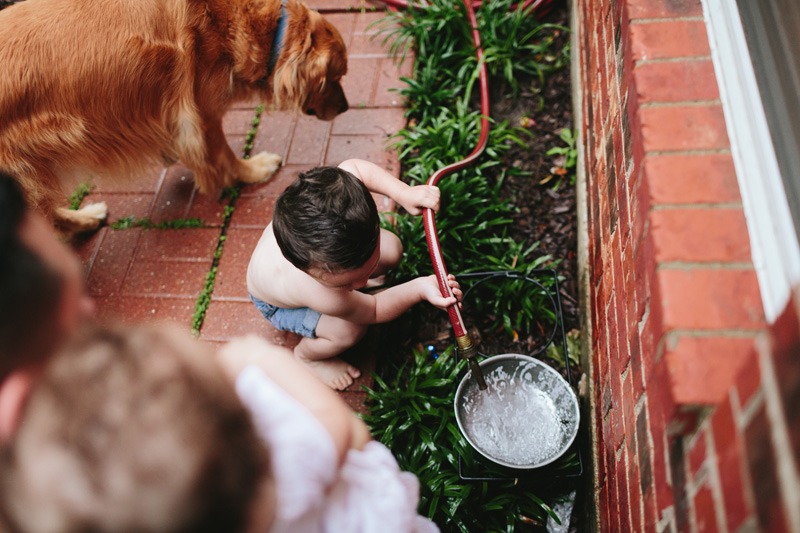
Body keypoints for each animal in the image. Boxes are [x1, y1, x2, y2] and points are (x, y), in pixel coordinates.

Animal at [0, 0, 350, 231]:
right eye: (334, 78)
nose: (346, 108)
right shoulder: (202, 114)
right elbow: (224, 157)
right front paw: (254, 170)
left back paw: (86, 218)